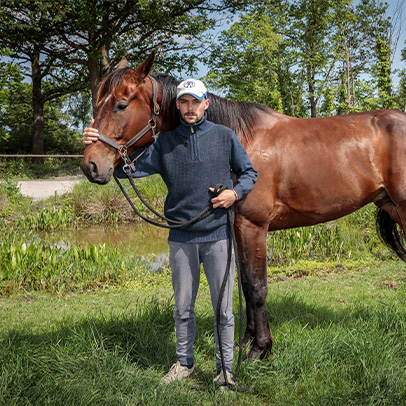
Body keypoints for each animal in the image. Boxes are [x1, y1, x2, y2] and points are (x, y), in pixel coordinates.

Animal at [81, 53, 406, 358]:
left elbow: (256, 286)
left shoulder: (253, 226)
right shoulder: (236, 228)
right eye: (98, 103)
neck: (240, 141)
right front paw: (247, 342)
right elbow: (244, 286)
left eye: (121, 105)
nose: (91, 166)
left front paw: (261, 348)